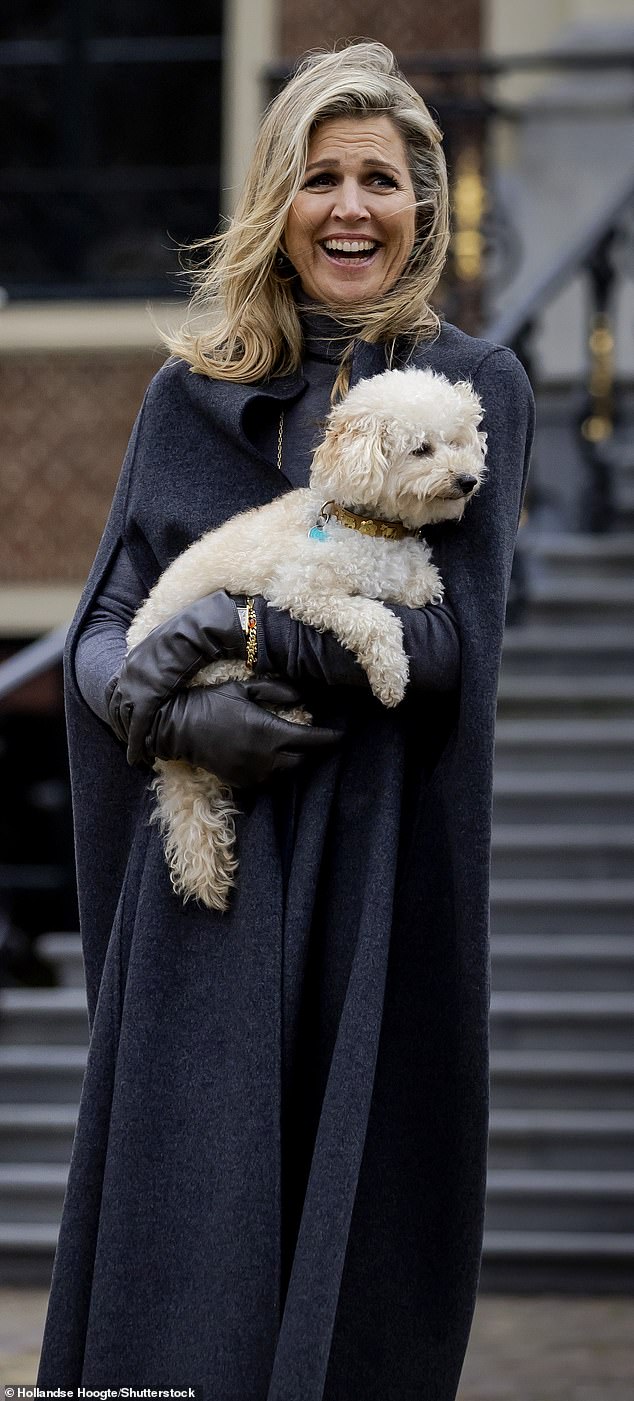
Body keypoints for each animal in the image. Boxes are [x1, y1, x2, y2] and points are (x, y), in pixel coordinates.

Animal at [127, 364, 484, 907]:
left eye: (459, 442)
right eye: (421, 449)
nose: (467, 480)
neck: (364, 524)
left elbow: (418, 593)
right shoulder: (303, 591)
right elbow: (375, 618)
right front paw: (391, 677)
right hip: (210, 671)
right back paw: (285, 714)